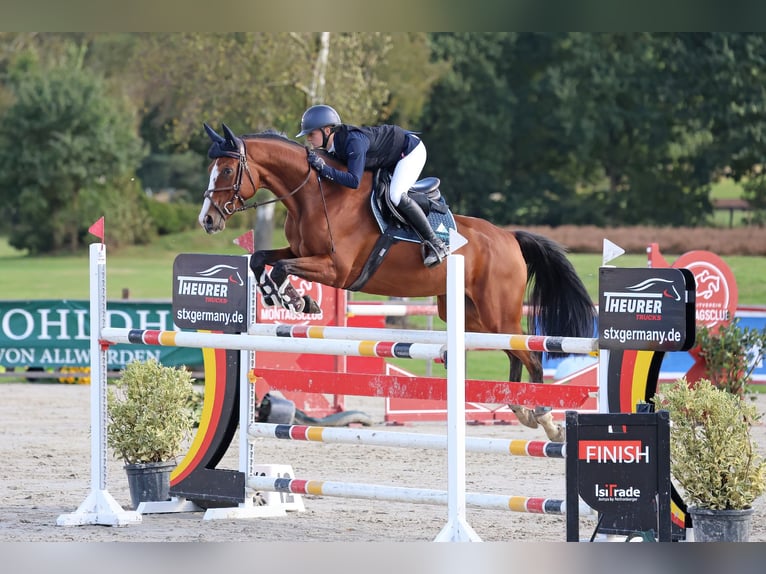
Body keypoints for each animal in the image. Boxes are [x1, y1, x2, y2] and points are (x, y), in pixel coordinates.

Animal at [196, 124, 592, 444]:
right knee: (511, 351)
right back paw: (519, 407)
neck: (315, 194)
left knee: (531, 356)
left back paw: (544, 418)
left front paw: (294, 300)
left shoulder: (335, 269)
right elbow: (261, 258)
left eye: (227, 169)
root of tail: (509, 237)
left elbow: (280, 268)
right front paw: (285, 297)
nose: (207, 220)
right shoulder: (301, 252)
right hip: (471, 315)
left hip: (498, 313)